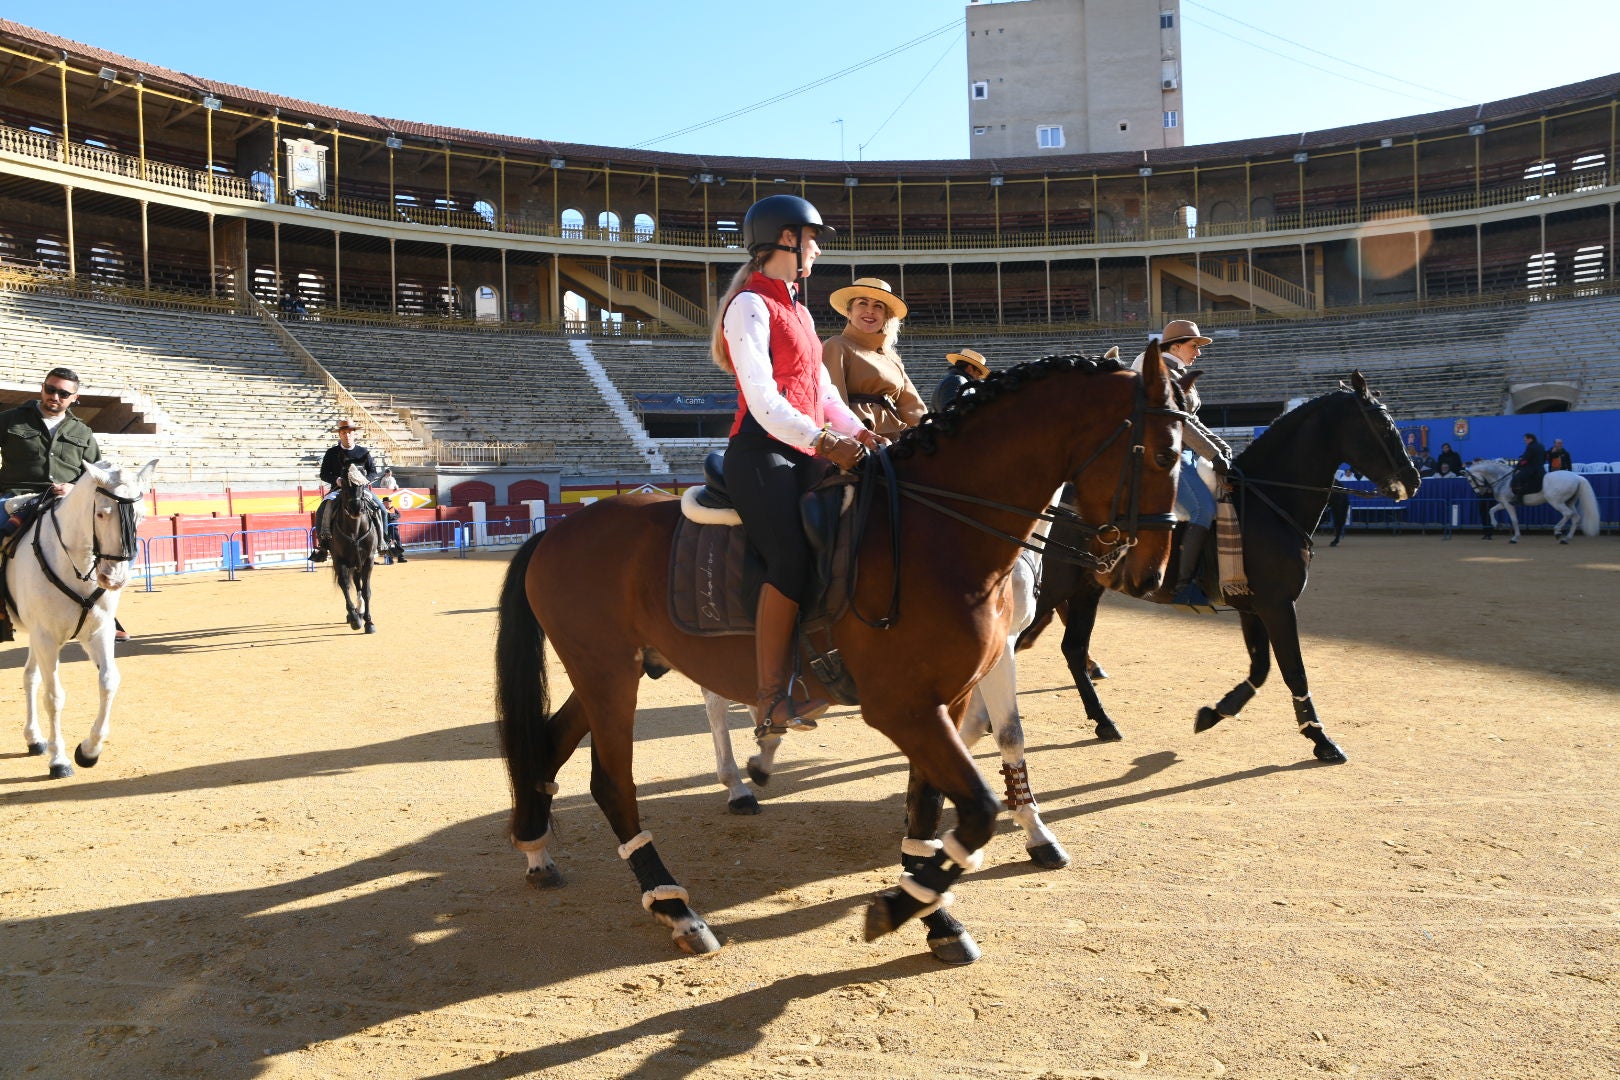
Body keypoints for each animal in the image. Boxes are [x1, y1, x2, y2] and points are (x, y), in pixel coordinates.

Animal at [7, 459, 157, 780]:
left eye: (141, 515)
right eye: (101, 513)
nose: (114, 579)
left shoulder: (98, 632)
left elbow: (109, 682)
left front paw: (89, 751)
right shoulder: (47, 639)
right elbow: (54, 697)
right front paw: (59, 760)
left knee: (29, 677)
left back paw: (34, 738)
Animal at [327, 466, 380, 634]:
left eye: (362, 485)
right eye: (343, 483)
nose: (356, 508)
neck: (355, 528)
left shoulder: (368, 559)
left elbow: (366, 590)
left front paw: (369, 622)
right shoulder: (339, 560)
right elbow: (345, 586)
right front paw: (354, 619)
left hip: (358, 563)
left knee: (358, 583)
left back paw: (361, 611)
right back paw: (354, 615)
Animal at [492, 341, 1192, 958]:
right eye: (1165, 454)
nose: (1151, 575)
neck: (936, 531)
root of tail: (560, 528)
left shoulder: (947, 699)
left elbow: (931, 807)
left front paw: (935, 915)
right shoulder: (903, 707)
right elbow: (977, 807)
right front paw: (901, 906)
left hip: (615, 668)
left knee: (551, 742)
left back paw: (536, 846)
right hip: (609, 673)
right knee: (613, 781)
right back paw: (676, 905)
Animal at [1023, 375, 1419, 764]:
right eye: (1385, 426)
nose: (1412, 480)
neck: (1266, 502)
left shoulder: (1253, 607)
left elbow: (1260, 669)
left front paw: (1215, 712)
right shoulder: (1278, 605)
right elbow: (1293, 671)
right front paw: (1320, 739)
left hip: (1086, 588)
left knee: (1073, 648)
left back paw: (1103, 721)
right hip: (1054, 586)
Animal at [1464, 459, 1600, 544]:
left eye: (1470, 480)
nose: (1479, 493)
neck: (1504, 480)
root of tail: (1577, 477)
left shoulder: (1508, 504)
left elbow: (1514, 520)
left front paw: (1514, 538)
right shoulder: (1503, 503)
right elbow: (1491, 510)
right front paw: (1495, 524)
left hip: (1556, 501)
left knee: (1567, 514)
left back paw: (1557, 531)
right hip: (1569, 502)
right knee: (1575, 517)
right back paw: (1566, 539)